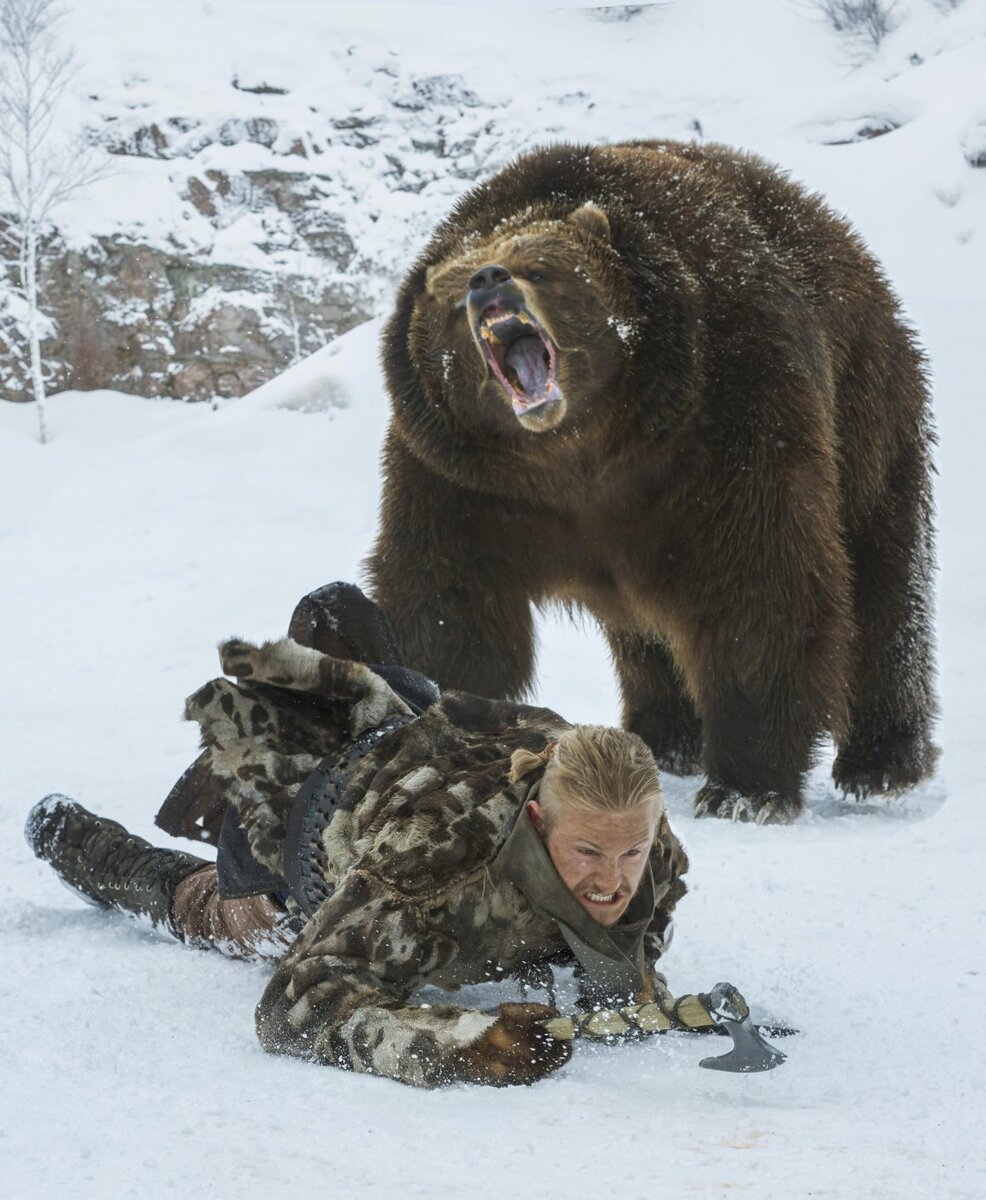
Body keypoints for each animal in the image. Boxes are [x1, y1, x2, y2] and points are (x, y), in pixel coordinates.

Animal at [364, 136, 940, 820]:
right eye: (453, 298)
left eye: (538, 264)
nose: (486, 279)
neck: (579, 449)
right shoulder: (463, 480)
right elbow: (448, 602)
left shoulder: (728, 415)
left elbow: (758, 584)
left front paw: (746, 788)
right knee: (645, 631)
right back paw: (665, 736)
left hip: (866, 410)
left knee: (882, 587)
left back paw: (883, 762)